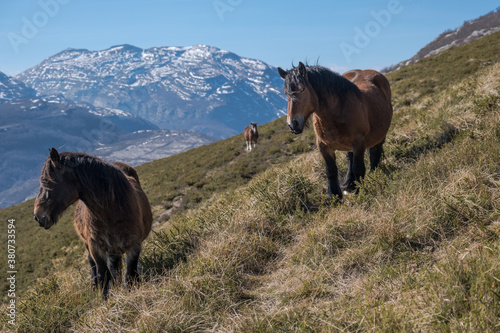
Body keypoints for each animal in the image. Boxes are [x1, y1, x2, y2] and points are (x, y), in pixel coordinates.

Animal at [33, 148, 152, 296]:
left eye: (45, 180)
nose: (37, 216)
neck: (111, 212)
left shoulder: (134, 246)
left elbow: (130, 275)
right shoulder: (95, 247)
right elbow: (102, 275)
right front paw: (105, 297)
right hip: (90, 245)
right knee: (95, 266)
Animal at [278, 61, 390, 197]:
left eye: (302, 88)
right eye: (286, 93)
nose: (292, 124)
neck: (336, 112)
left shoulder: (359, 143)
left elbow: (358, 168)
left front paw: (360, 192)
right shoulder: (323, 146)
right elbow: (331, 170)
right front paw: (334, 195)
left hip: (380, 135)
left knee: (375, 153)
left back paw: (373, 174)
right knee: (350, 158)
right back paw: (348, 183)